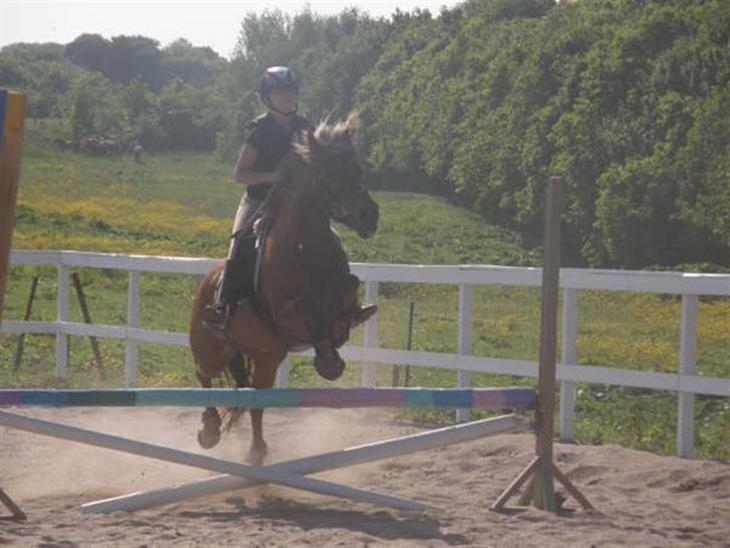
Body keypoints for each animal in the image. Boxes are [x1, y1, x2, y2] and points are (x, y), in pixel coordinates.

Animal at [189, 113, 379, 464]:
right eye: (327, 175)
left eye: (358, 170)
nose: (369, 216)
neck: (305, 246)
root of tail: (207, 280)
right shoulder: (283, 312)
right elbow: (301, 312)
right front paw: (328, 360)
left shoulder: (339, 295)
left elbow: (345, 302)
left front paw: (333, 352)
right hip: (210, 346)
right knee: (203, 375)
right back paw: (208, 431)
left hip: (266, 356)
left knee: (255, 402)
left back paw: (256, 450)